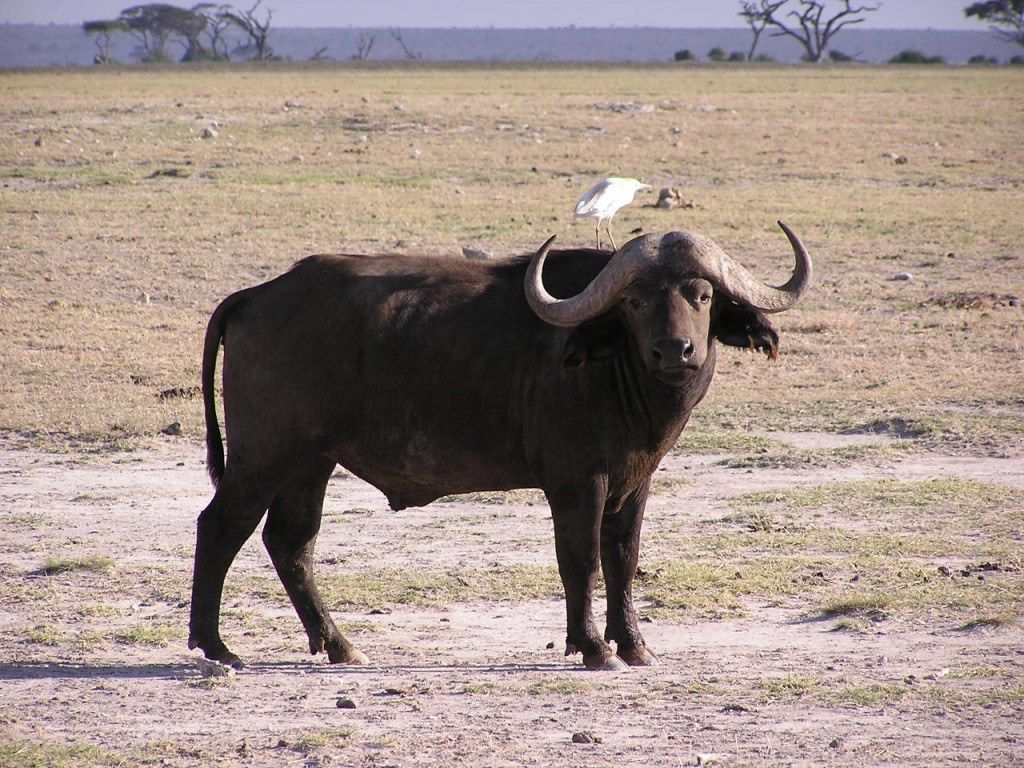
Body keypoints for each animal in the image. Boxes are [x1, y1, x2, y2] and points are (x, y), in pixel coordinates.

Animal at [188, 221, 811, 667]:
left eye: (701, 295)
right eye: (634, 302)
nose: (674, 350)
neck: (617, 371)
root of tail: (258, 294)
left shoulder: (635, 483)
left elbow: (624, 558)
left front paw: (634, 645)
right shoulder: (578, 483)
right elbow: (581, 560)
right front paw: (594, 648)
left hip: (309, 465)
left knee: (291, 544)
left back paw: (338, 644)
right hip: (262, 459)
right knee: (219, 528)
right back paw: (214, 646)